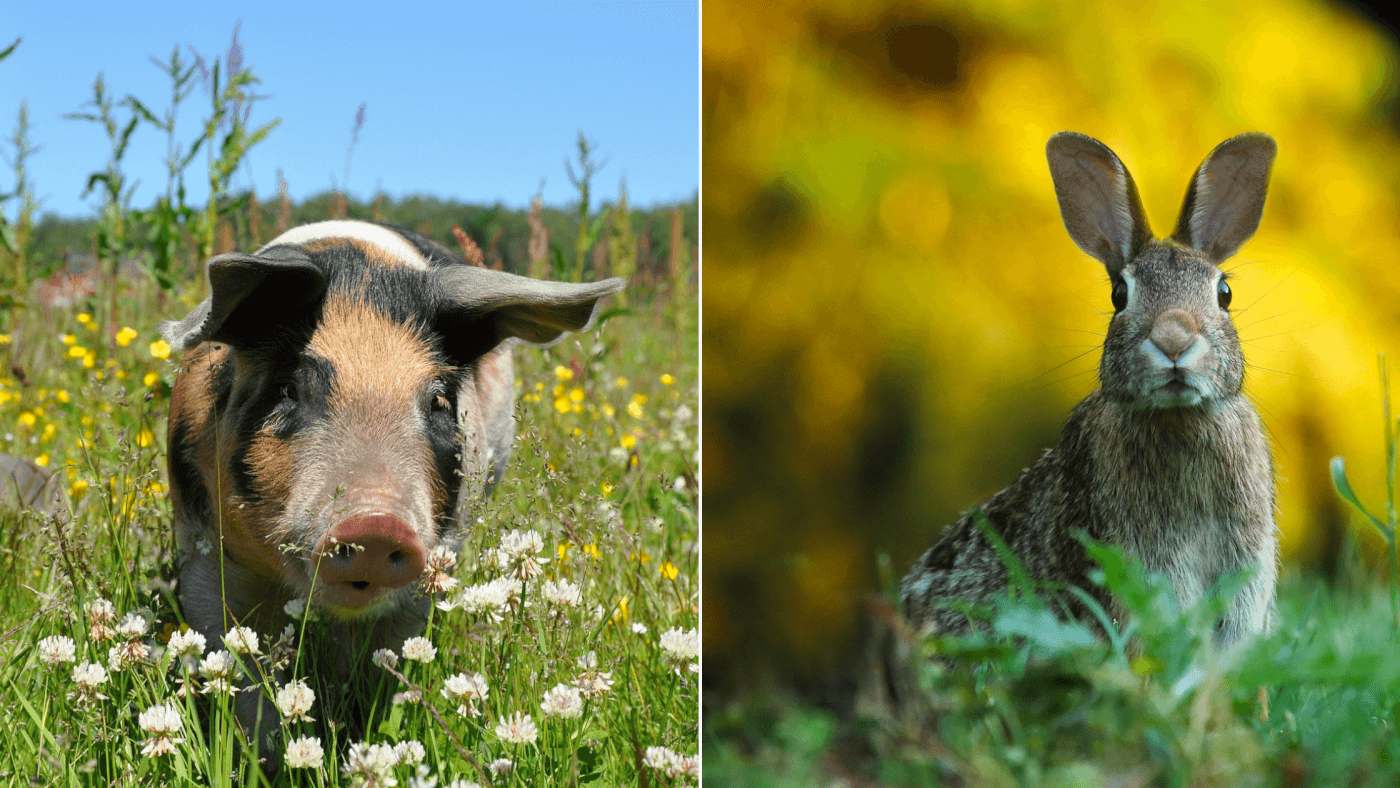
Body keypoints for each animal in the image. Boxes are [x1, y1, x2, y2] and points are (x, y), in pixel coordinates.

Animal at [161, 221, 621, 755]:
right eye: (289, 389)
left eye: (439, 401)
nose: (377, 523)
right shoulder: (201, 550)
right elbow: (241, 673)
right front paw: (264, 755)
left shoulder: (431, 567)